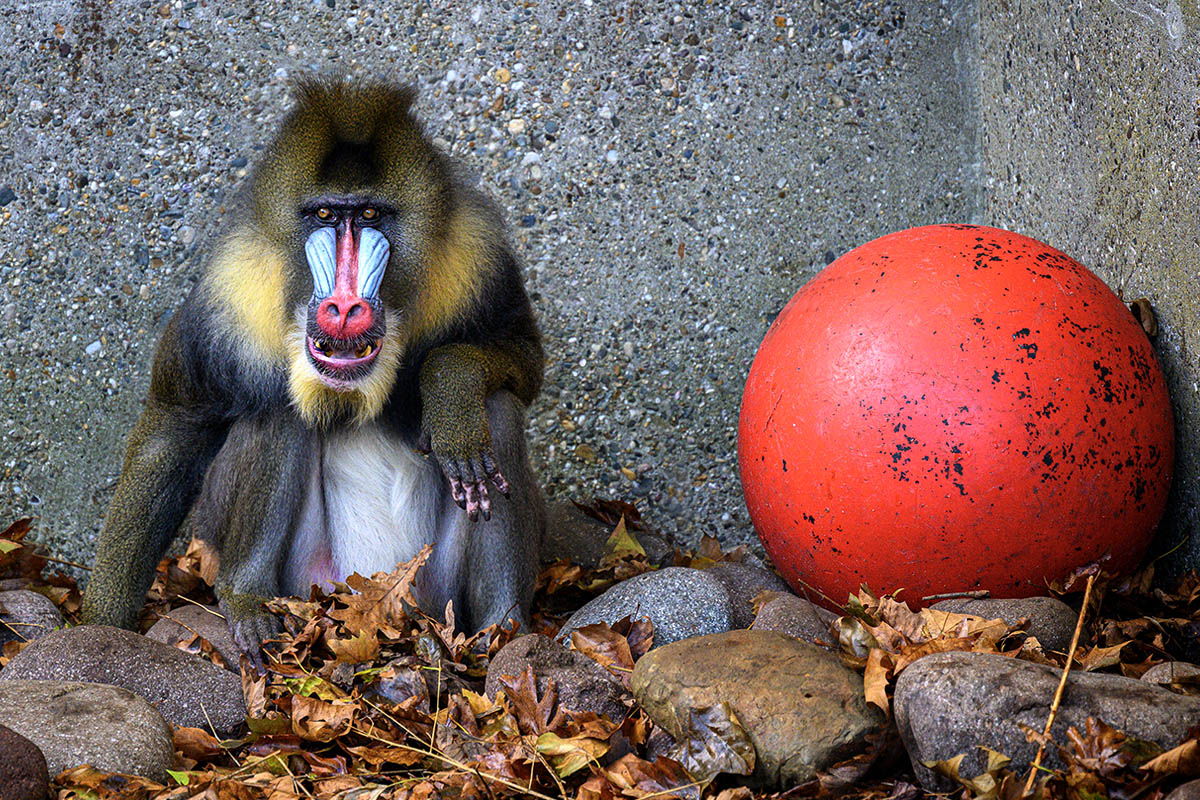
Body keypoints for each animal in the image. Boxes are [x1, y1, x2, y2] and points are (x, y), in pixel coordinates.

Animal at [80, 79, 545, 659]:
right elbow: (174, 429)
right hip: (309, 585)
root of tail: (377, 606)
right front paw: (96, 628)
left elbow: (522, 358)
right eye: (324, 216)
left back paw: (501, 636)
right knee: (279, 411)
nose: (344, 307)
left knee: (498, 410)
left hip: (435, 594)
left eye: (368, 216)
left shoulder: (477, 257)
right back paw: (247, 602)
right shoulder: (228, 296)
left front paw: (453, 401)